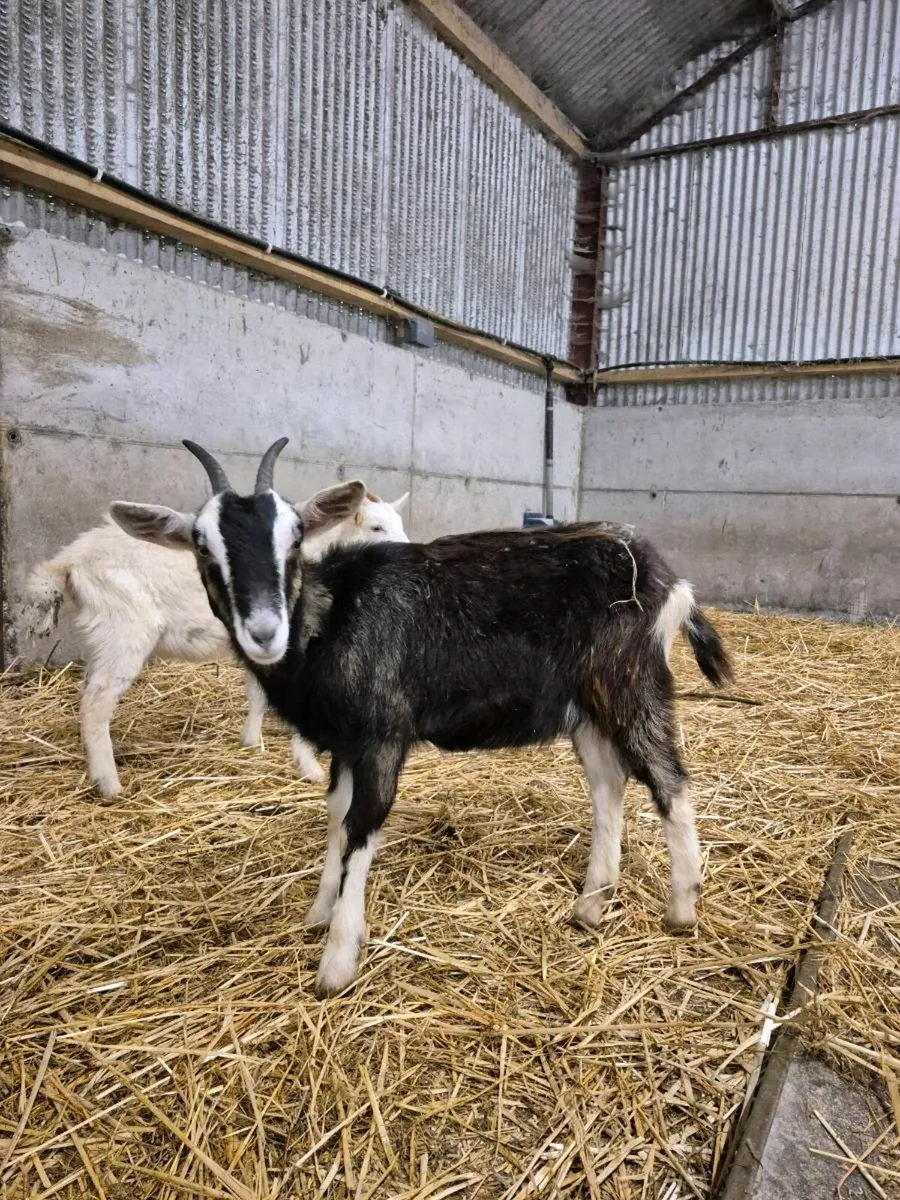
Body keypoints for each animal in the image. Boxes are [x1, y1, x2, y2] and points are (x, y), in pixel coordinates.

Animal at [23, 487, 409, 799]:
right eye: (376, 527)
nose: (408, 551)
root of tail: (69, 560)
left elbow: (257, 693)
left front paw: (251, 742)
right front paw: (310, 768)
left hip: (101, 636)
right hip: (125, 630)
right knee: (96, 704)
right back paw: (109, 784)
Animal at [112, 437, 732, 999]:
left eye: (294, 537)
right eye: (201, 545)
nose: (264, 631)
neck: (331, 617)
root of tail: (669, 580)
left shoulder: (383, 733)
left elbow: (362, 826)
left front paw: (337, 961)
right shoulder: (346, 743)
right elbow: (335, 817)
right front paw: (320, 911)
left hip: (631, 683)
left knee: (669, 780)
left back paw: (681, 907)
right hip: (587, 705)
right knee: (609, 786)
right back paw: (591, 904)